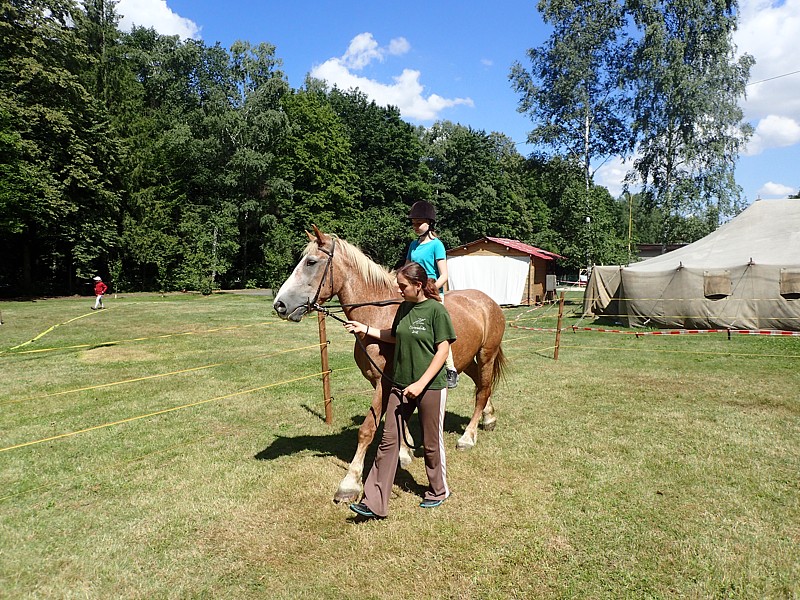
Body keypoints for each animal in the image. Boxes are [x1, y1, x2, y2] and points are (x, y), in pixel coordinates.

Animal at [272, 225, 504, 502]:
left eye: (311, 262)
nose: (279, 305)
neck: (379, 315)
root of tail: (488, 301)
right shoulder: (386, 381)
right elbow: (396, 417)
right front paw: (404, 453)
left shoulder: (384, 381)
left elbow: (367, 429)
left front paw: (350, 483)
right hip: (467, 359)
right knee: (482, 385)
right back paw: (489, 418)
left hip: (487, 354)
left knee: (482, 391)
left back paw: (468, 437)